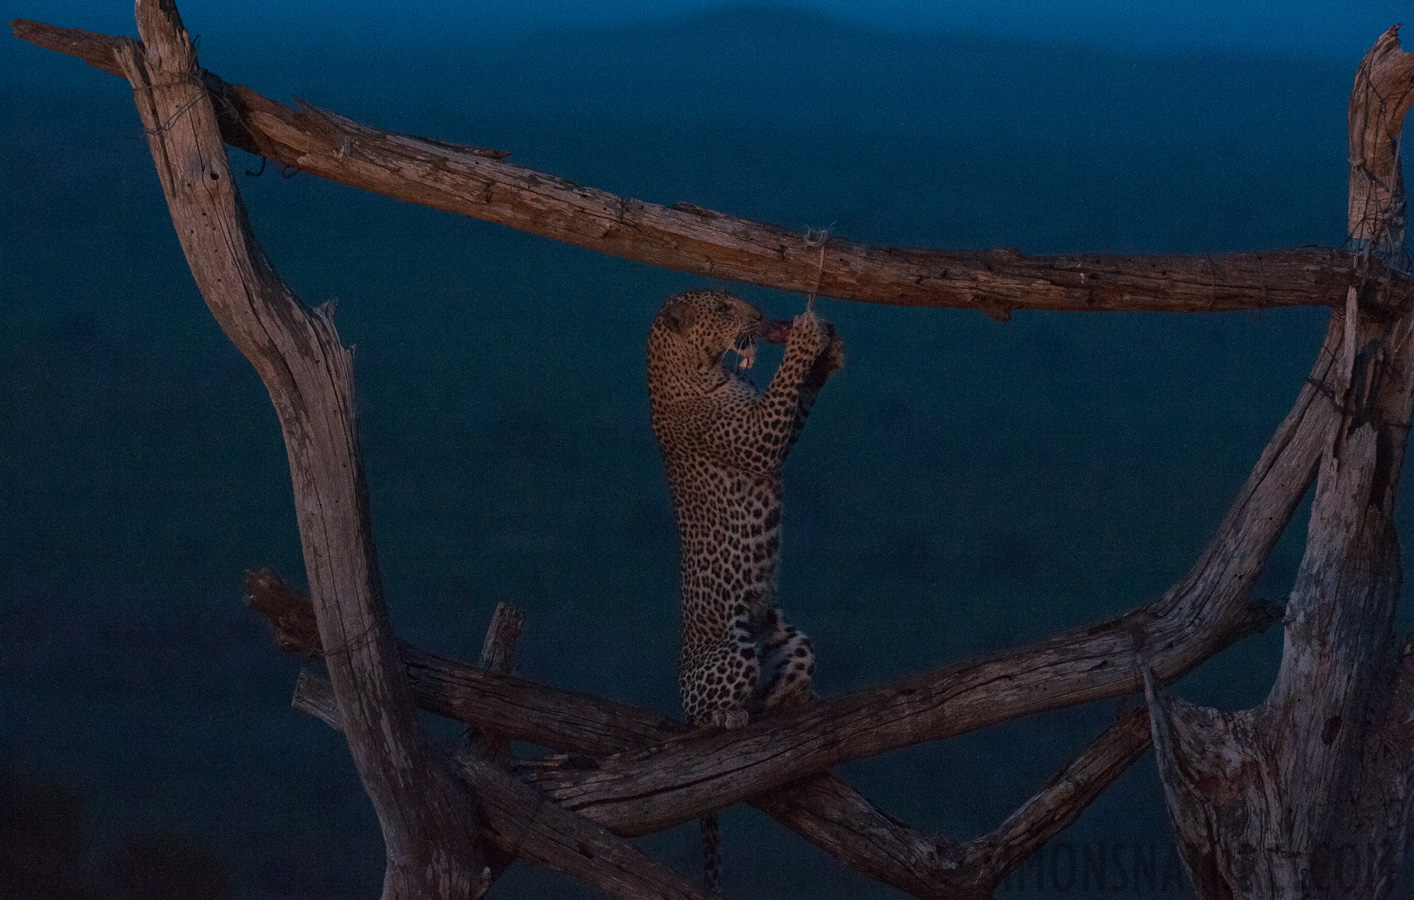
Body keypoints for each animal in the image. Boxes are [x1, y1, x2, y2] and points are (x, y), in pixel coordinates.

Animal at [647, 285, 842, 888]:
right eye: (723, 308)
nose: (758, 315)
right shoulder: (755, 438)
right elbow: (780, 399)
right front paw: (806, 340)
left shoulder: (772, 428)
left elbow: (795, 404)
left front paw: (825, 358)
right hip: (732, 650)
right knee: (706, 717)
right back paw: (728, 716)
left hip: (792, 641)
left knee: (770, 692)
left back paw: (791, 702)